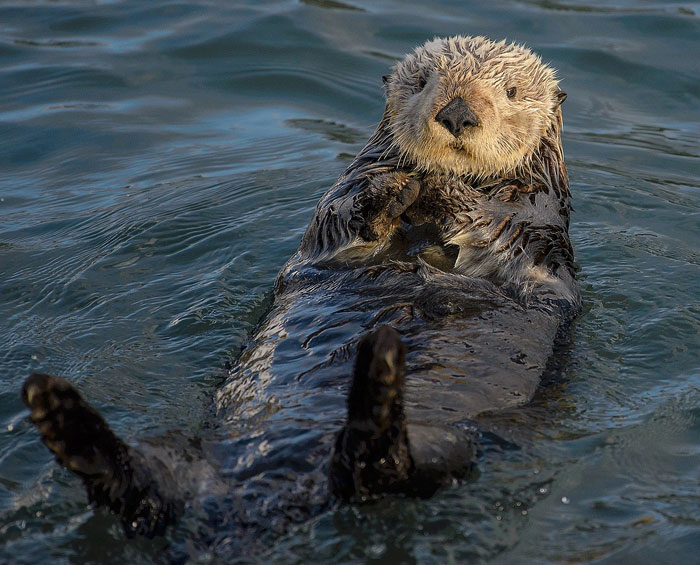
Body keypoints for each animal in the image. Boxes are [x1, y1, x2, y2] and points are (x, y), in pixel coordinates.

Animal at [21, 35, 578, 546]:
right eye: (422, 83)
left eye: (510, 92)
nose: (458, 113)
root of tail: (263, 500)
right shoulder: (337, 208)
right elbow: (341, 215)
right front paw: (393, 189)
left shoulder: (536, 229)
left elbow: (497, 228)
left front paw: (442, 189)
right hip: (186, 453)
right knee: (147, 488)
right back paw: (60, 415)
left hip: (450, 447)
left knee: (383, 469)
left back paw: (378, 376)